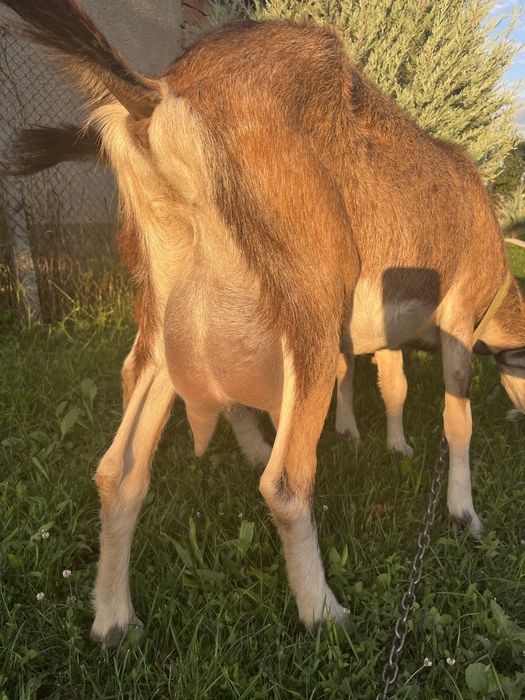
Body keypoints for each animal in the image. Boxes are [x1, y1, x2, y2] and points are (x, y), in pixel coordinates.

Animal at [4, 1, 524, 648]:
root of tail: (161, 97)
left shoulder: (387, 329)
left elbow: (393, 385)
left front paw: (389, 444)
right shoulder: (455, 310)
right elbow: (457, 420)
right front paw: (464, 513)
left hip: (167, 319)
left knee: (117, 468)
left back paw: (114, 622)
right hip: (306, 308)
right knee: (284, 479)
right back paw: (323, 612)